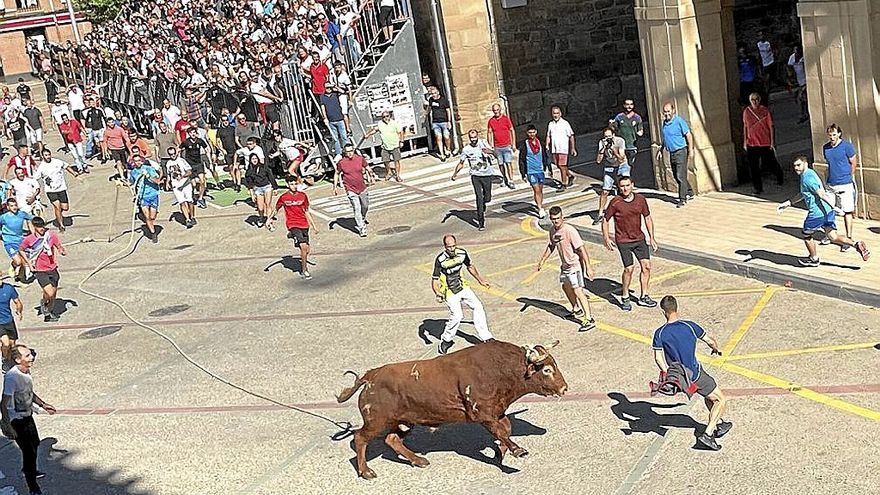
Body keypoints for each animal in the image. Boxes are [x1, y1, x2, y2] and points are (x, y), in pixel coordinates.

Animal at [334, 340, 568, 478]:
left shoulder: (497, 411)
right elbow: (501, 431)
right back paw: (366, 471)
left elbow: (507, 428)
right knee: (360, 438)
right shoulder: (483, 414)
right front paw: (517, 451)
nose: (564, 388)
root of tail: (371, 376)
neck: (499, 369)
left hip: (403, 421)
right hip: (376, 421)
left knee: (392, 439)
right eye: (547, 370)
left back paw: (418, 460)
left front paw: (501, 452)